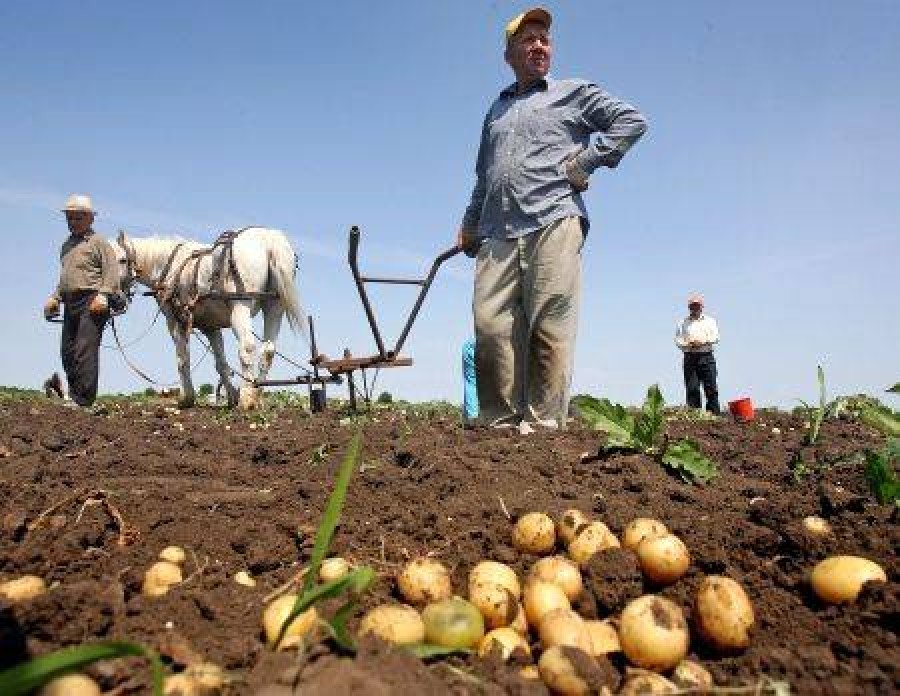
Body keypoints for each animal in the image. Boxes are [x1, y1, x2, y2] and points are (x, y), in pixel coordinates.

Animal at [115, 226, 306, 408]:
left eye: (121, 260)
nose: (116, 299)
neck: (170, 267)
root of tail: (268, 240)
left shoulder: (175, 321)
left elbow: (182, 358)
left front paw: (186, 398)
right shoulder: (211, 327)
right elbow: (221, 363)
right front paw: (231, 397)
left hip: (240, 307)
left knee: (247, 347)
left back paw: (247, 398)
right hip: (274, 307)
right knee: (268, 349)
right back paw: (256, 393)